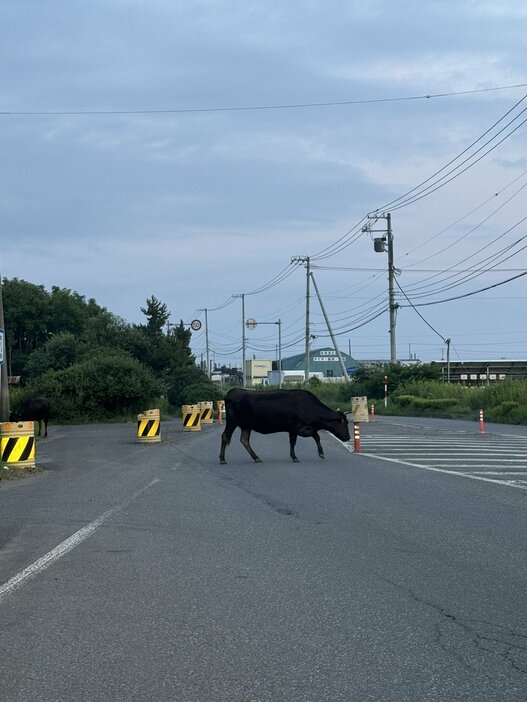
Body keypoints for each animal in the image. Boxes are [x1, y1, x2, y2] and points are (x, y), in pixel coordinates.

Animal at [219, 388, 350, 464]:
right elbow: (293, 442)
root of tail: (233, 391)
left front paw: (321, 453)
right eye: (345, 425)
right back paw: (222, 459)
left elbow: (317, 437)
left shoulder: (307, 428)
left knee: (244, 440)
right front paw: (294, 457)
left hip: (246, 425)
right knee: (225, 436)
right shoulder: (294, 427)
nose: (348, 437)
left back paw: (256, 457)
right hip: (232, 422)